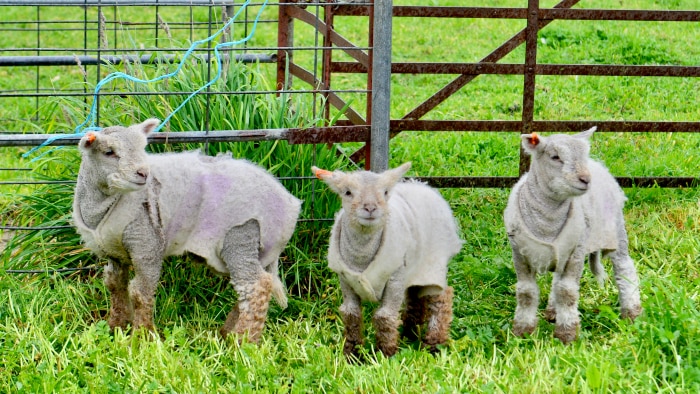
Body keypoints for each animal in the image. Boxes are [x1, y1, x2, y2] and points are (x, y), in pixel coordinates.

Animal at [74, 118, 300, 344]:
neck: (100, 205)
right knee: (253, 285)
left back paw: (243, 341)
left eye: (142, 148)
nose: (144, 173)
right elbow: (114, 284)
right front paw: (116, 326)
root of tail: (288, 200)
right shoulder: (114, 251)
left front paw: (142, 337)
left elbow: (139, 293)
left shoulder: (146, 244)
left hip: (241, 234)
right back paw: (227, 333)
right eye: (109, 152)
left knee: (256, 286)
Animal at [314, 162, 462, 358]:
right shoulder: (346, 280)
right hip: (413, 266)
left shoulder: (394, 278)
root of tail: (424, 186)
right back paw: (409, 333)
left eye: (384, 192)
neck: (361, 259)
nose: (370, 208)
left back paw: (433, 344)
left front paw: (386, 354)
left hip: (434, 261)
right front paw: (352, 353)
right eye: (347, 192)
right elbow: (351, 314)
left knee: (441, 298)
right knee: (414, 296)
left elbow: (384, 317)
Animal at [504, 127, 644, 344]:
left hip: (616, 231)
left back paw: (632, 314)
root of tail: (598, 165)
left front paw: (566, 335)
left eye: (582, 155)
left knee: (624, 268)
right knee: (557, 279)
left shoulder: (576, 251)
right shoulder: (520, 254)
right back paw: (553, 311)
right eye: (555, 157)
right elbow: (526, 293)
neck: (547, 224)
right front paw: (522, 332)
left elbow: (567, 292)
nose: (585, 179)